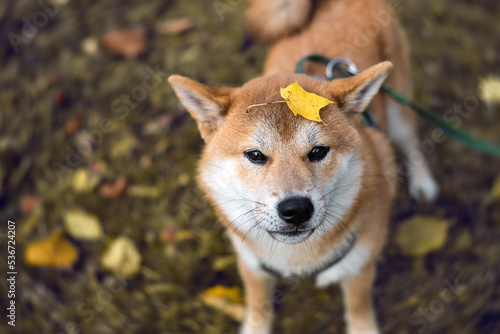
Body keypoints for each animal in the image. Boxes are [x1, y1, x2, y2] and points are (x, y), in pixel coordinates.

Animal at [168, 0, 438, 332]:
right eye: (255, 155)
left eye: (318, 151)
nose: (295, 209)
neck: (296, 259)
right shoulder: (252, 264)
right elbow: (258, 306)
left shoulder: (360, 265)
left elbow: (358, 308)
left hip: (398, 109)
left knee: (411, 144)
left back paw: (423, 183)